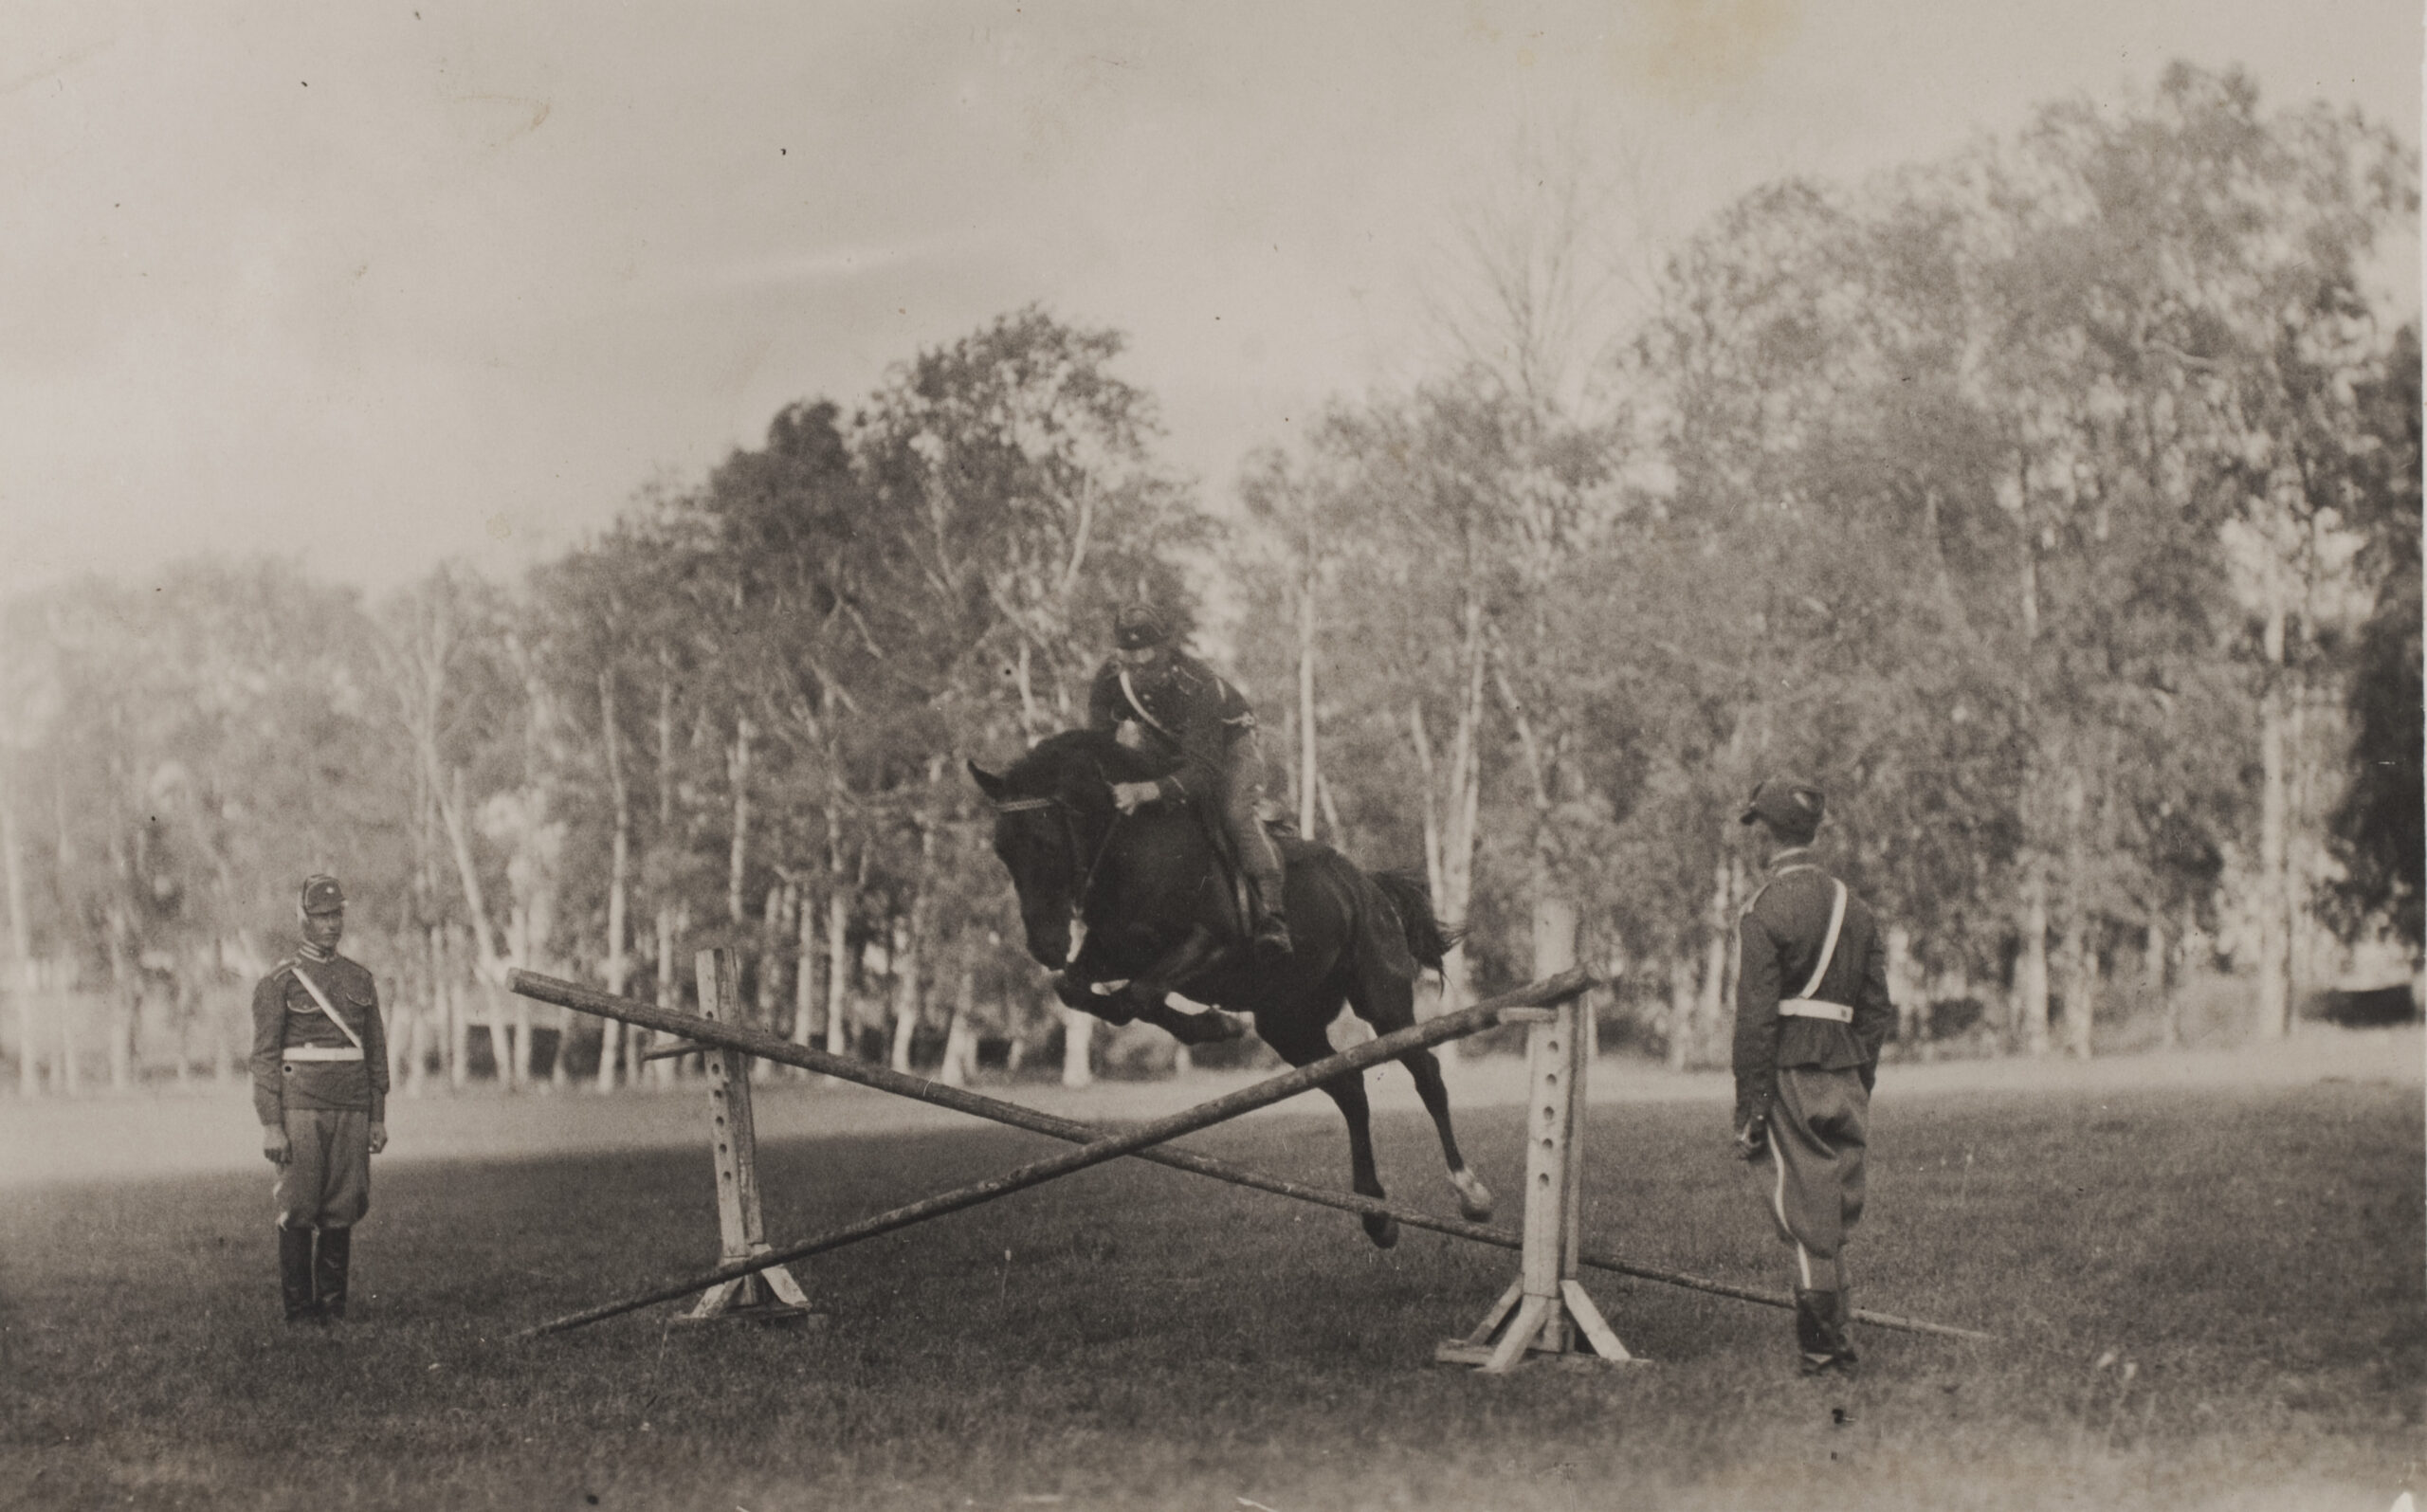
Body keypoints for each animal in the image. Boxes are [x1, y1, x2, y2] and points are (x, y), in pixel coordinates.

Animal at [965, 728, 1494, 1252]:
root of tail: (1369, 885)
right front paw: (1213, 1025)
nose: (1044, 946)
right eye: (1001, 849)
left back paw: (1470, 1193)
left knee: (1425, 1073)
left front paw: (1214, 1025)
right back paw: (1376, 1213)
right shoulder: (1113, 952)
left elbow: (1135, 996)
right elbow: (1083, 991)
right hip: (1288, 1023)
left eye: (1044, 841)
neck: (1136, 850)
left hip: (1382, 1000)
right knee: (1349, 1090)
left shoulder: (1210, 944)